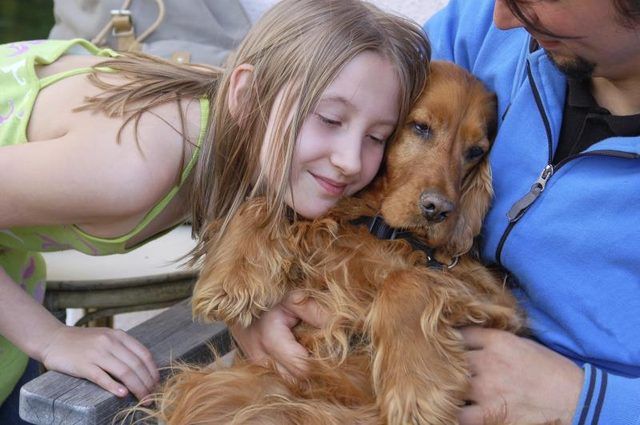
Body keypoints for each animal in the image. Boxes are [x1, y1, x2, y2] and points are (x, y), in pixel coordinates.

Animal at [158, 62, 528, 424]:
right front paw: (232, 281)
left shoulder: (496, 303)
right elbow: (261, 203)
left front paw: (417, 389)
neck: (382, 227)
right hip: (221, 388)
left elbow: (405, 280)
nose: (438, 209)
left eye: (476, 151)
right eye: (420, 127)